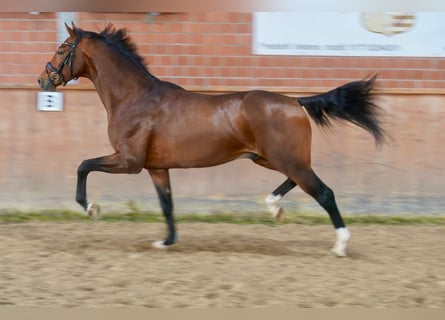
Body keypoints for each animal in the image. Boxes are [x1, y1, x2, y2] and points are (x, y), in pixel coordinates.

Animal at [39, 23, 386, 258]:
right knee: (299, 182)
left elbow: (83, 165)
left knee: (323, 192)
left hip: (285, 158)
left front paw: (91, 208)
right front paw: (166, 242)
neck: (134, 98)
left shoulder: (128, 161)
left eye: (62, 48)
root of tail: (295, 102)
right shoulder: (156, 167)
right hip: (270, 158)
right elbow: (167, 204)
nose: (43, 79)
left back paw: (340, 245)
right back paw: (274, 208)